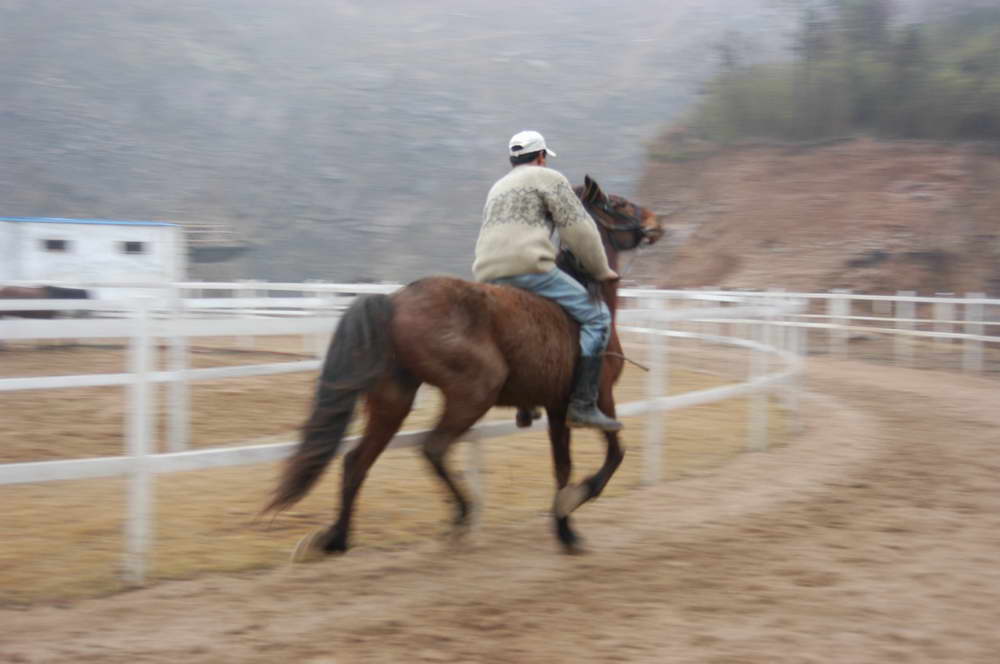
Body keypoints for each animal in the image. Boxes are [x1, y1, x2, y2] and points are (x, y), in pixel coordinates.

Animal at [268, 176, 664, 556]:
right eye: (620, 203)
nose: (656, 221)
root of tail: (394, 300)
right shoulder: (599, 398)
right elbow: (614, 455)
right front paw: (573, 504)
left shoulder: (556, 407)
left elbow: (562, 467)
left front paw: (565, 530)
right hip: (474, 393)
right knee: (433, 448)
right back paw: (460, 515)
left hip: (393, 400)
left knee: (356, 461)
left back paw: (336, 539)